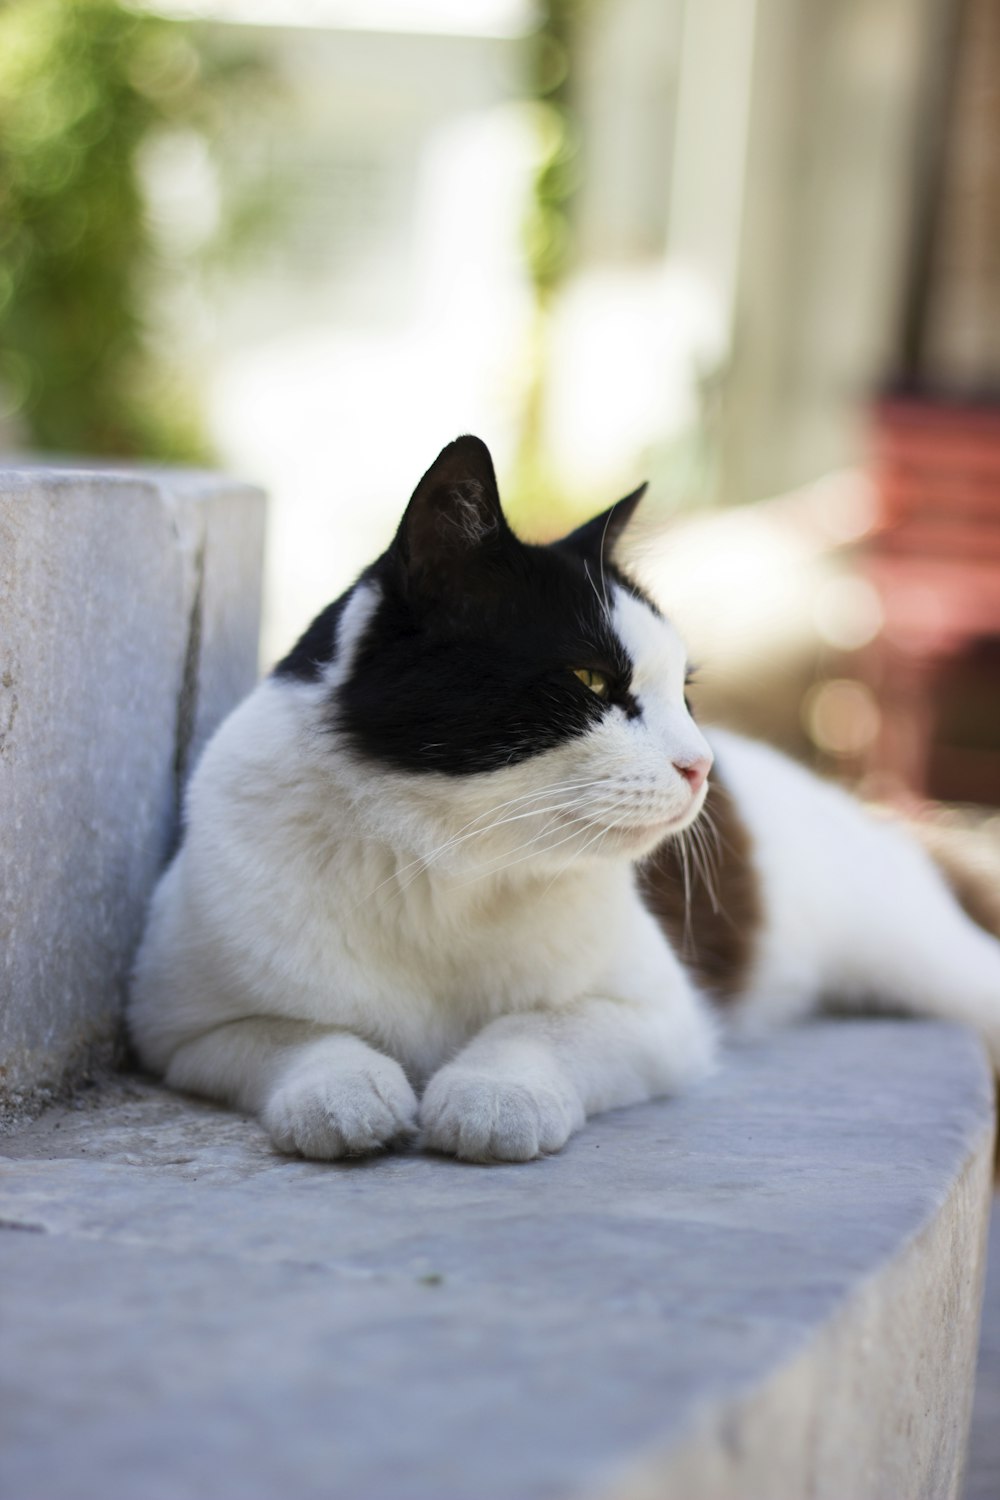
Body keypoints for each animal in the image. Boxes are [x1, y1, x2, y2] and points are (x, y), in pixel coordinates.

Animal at [128, 435, 1000, 1158]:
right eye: (592, 680)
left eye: (684, 693)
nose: (701, 766)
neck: (443, 869)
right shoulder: (182, 1030)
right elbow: (297, 1037)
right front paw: (342, 1091)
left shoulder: (661, 1016)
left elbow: (542, 1026)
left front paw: (492, 1093)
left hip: (921, 956)